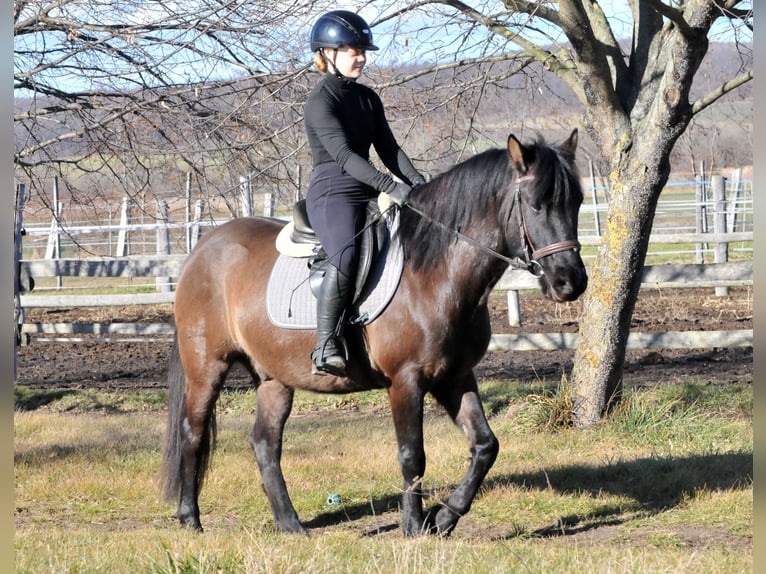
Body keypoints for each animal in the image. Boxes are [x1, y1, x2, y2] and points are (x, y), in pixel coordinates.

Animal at [162, 128, 592, 536]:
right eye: (536, 204)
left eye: (577, 203)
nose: (571, 282)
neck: (435, 272)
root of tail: (202, 248)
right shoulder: (406, 380)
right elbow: (412, 455)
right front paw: (413, 526)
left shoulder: (454, 376)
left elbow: (486, 445)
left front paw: (444, 518)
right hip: (207, 368)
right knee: (192, 433)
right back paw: (190, 519)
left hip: (274, 379)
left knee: (265, 443)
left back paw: (291, 525)